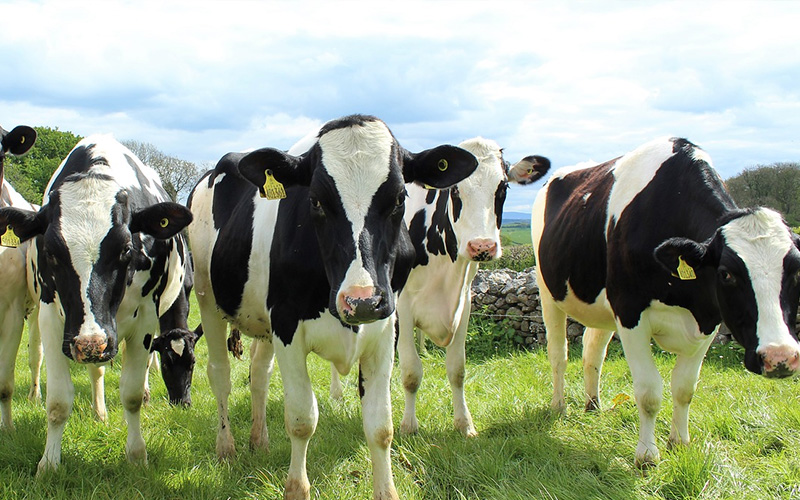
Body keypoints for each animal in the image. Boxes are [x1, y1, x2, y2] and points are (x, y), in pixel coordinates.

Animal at [0, 135, 192, 474]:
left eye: (126, 249)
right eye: (51, 252)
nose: (90, 343)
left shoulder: (144, 321)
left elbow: (131, 394)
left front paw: (137, 456)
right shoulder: (53, 320)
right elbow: (58, 400)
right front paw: (48, 463)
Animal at [187, 114, 478, 500]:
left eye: (399, 198)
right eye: (315, 201)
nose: (361, 299)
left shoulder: (385, 329)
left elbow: (380, 426)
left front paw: (386, 491)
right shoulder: (287, 327)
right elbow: (301, 420)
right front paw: (296, 489)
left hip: (262, 320)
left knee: (259, 375)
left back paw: (259, 440)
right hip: (208, 298)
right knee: (219, 374)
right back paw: (227, 447)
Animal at [392, 137, 549, 437]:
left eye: (503, 187)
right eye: (454, 189)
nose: (482, 246)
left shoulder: (464, 302)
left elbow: (457, 369)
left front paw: (464, 424)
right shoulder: (403, 305)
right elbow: (410, 372)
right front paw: (408, 426)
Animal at [528, 137, 800, 467]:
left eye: (796, 269)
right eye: (726, 274)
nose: (780, 357)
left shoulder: (708, 320)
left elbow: (684, 388)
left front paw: (679, 442)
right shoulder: (630, 312)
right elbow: (648, 392)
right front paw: (646, 455)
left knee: (593, 352)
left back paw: (593, 404)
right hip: (548, 292)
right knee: (559, 354)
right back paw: (559, 406)